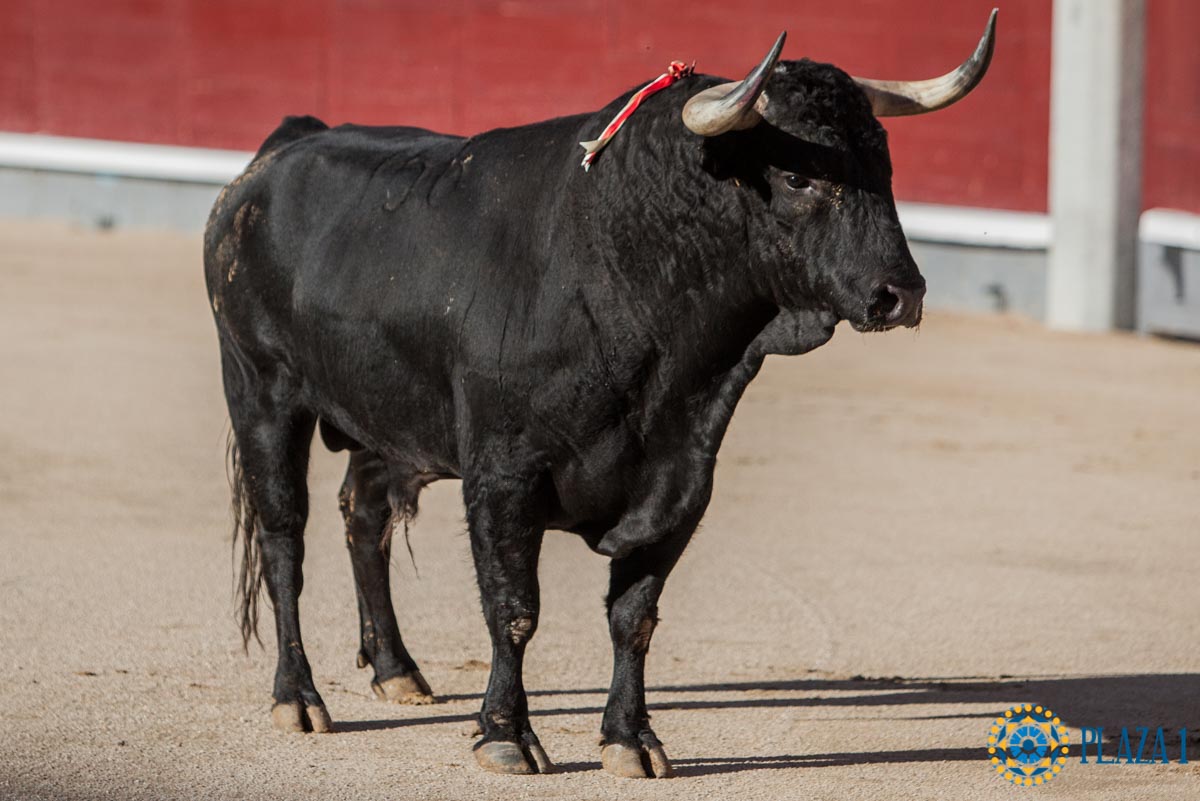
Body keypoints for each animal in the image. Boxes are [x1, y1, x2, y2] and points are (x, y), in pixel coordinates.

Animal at [204, 15, 993, 777]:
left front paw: (630, 738)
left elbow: (633, 615)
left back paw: (397, 670)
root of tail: (284, 147)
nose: (900, 294)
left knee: (362, 516)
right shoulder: (503, 475)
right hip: (260, 391)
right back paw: (298, 696)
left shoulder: (681, 479)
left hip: (384, 421)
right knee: (285, 537)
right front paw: (506, 735)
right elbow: (514, 607)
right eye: (798, 175)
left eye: (885, 167)